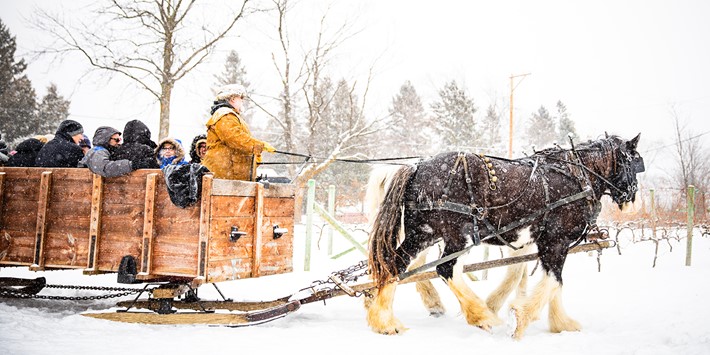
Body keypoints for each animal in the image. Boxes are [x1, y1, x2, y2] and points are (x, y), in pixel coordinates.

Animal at [368, 134, 644, 340]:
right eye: (634, 163)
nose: (631, 197)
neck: (578, 177)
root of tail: (417, 167)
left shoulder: (536, 243)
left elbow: (541, 280)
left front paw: (561, 323)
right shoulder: (555, 241)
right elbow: (553, 281)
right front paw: (521, 319)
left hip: (423, 233)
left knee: (395, 264)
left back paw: (384, 322)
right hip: (458, 234)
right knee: (446, 268)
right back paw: (481, 315)